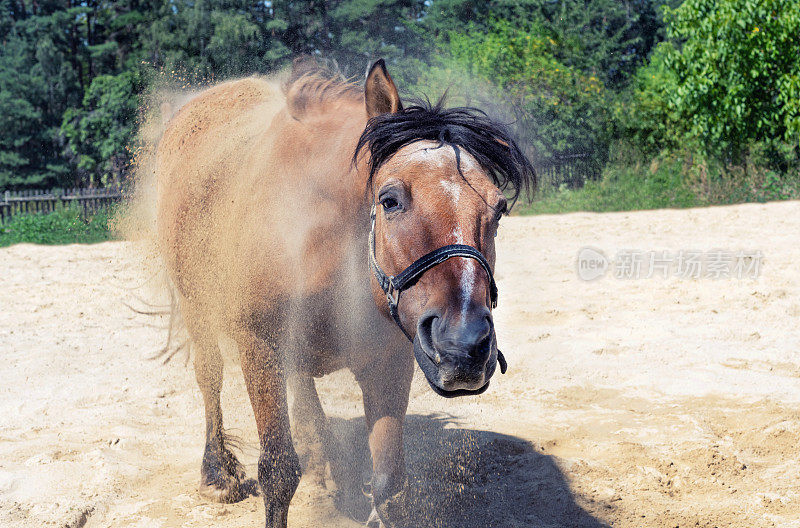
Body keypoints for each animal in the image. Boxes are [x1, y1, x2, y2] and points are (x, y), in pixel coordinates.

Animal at [153, 58, 536, 528]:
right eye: (390, 200)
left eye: (498, 208)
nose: (463, 347)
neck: (324, 237)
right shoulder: (259, 347)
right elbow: (277, 471)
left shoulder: (389, 360)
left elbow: (389, 482)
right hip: (197, 308)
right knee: (210, 378)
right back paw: (217, 473)